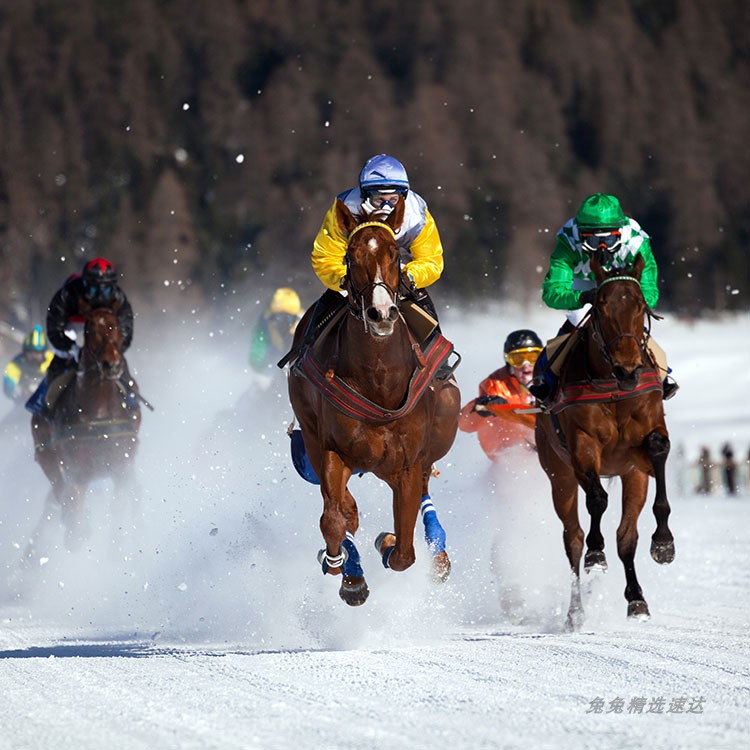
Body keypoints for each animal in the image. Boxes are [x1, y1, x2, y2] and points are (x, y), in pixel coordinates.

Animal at [27, 304, 142, 552]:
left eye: (116, 326)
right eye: (89, 330)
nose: (111, 363)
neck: (98, 412)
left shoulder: (121, 463)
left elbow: (120, 502)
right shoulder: (75, 471)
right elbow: (74, 505)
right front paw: (78, 533)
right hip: (47, 455)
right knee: (59, 489)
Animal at [290, 198, 462, 604]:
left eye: (395, 254)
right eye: (351, 257)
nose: (380, 312)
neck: (378, 381)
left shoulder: (407, 463)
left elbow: (403, 552)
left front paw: (386, 542)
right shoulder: (332, 450)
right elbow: (335, 518)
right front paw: (345, 570)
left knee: (424, 497)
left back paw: (438, 554)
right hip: (314, 435)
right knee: (342, 507)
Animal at [536, 256, 680, 632]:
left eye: (641, 304)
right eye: (600, 306)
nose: (627, 368)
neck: (613, 386)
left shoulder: (640, 452)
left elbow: (658, 448)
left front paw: (664, 543)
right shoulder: (582, 446)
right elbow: (596, 500)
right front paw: (595, 553)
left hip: (631, 476)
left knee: (626, 537)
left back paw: (636, 599)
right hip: (558, 474)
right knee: (572, 539)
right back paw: (575, 609)